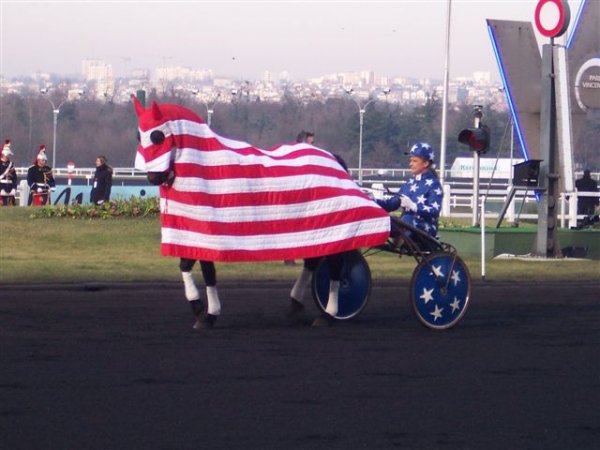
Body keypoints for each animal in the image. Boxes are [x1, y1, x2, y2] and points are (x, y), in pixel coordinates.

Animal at [131, 98, 390, 328]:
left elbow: (209, 273)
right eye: (139, 136)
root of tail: (332, 158)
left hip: (334, 224)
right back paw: (296, 304)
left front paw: (209, 315)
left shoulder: (212, 232)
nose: (153, 177)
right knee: (313, 261)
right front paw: (198, 307)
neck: (206, 166)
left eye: (157, 135)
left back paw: (327, 314)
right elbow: (185, 265)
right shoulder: (194, 229)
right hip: (316, 228)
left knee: (334, 266)